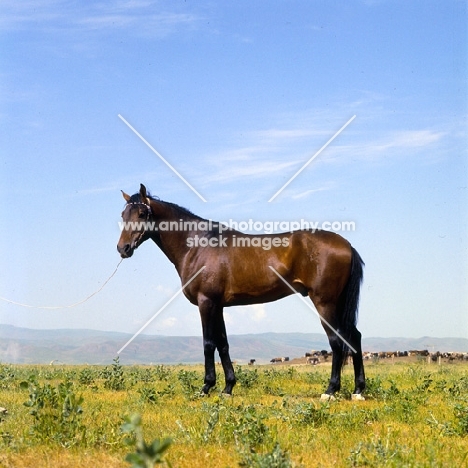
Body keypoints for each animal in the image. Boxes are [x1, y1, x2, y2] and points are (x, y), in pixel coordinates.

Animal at [117, 185, 366, 400]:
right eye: (123, 214)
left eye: (142, 213)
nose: (123, 248)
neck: (197, 245)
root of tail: (346, 245)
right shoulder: (218, 305)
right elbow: (223, 344)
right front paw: (227, 388)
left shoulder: (206, 302)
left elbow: (209, 343)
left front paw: (206, 387)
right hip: (339, 303)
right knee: (354, 337)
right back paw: (358, 391)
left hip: (325, 302)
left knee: (337, 340)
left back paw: (330, 391)